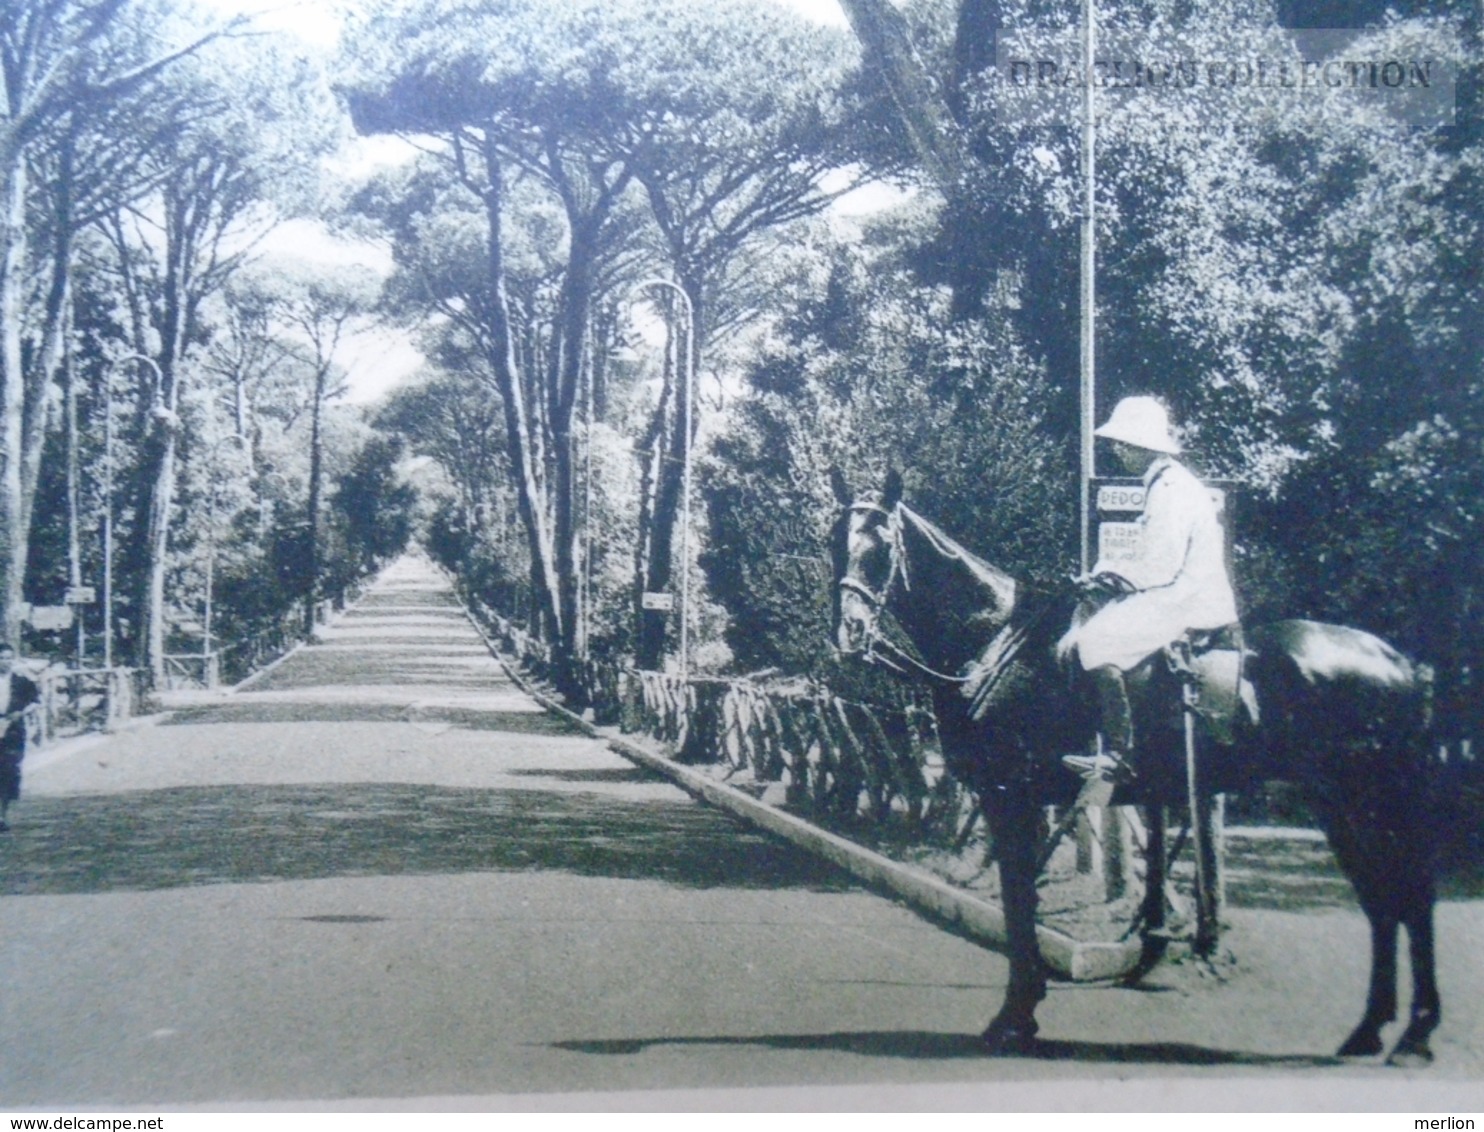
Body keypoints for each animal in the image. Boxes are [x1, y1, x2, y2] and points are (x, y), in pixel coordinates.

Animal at [825, 471, 1436, 1074]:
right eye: (835, 541)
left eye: (882, 547)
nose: (849, 634)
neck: (1000, 643)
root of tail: (1399, 662)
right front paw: (1022, 1010)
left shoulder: (1011, 799)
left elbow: (1020, 906)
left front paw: (1015, 1017)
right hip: (1337, 805)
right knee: (1384, 904)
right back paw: (1370, 1031)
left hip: (1366, 801)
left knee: (1407, 899)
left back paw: (1413, 1036)